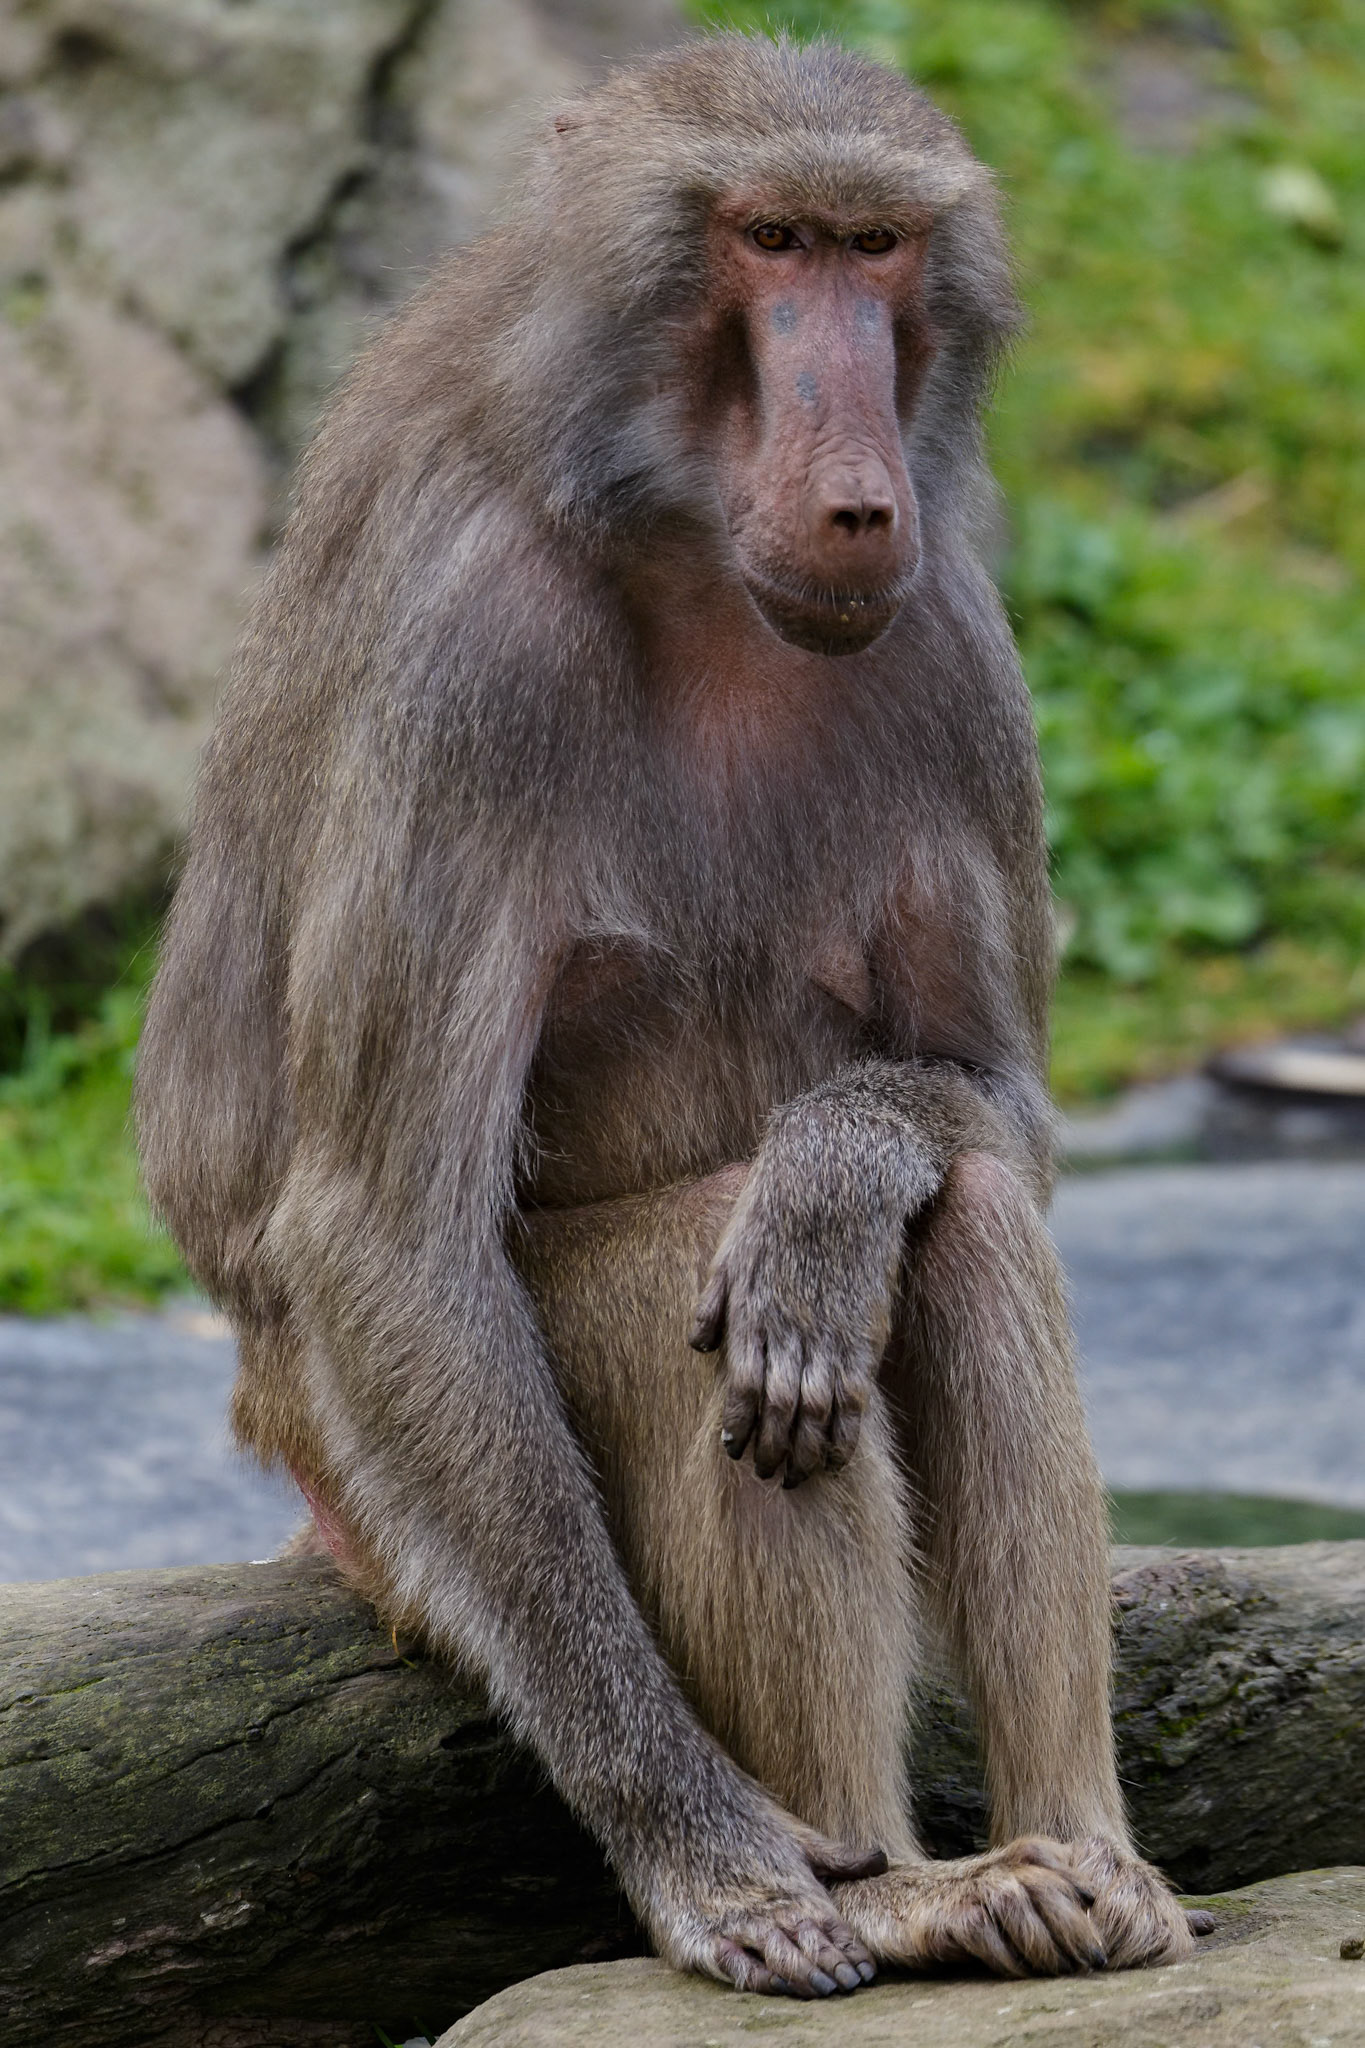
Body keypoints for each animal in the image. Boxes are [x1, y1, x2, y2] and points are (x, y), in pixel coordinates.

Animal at [136, 34, 1209, 2001]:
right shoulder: (469, 656)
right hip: (352, 1471)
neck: (694, 559)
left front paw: (837, 1177)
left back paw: (1073, 1863)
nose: (860, 494)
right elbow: (387, 1232)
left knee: (960, 1221)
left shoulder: (955, 642)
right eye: (769, 239)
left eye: (874, 246)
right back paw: (893, 1883)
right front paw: (709, 1852)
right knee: (671, 1309)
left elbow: (998, 1117)